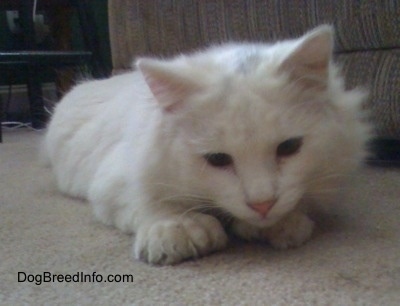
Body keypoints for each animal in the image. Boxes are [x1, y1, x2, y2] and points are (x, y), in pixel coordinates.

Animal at [44, 25, 372, 266]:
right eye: (217, 160)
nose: (262, 205)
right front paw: (179, 229)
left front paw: (283, 224)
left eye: (289, 148)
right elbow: (150, 203)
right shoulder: (116, 178)